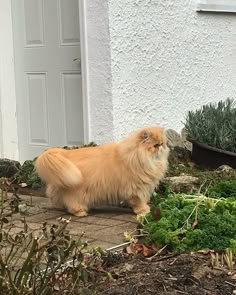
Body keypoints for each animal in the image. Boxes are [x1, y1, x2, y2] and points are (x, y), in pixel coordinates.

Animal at [35, 127, 169, 217]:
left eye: (163, 143)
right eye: (156, 145)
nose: (162, 147)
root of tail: (65, 153)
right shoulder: (136, 189)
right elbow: (139, 201)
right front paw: (143, 211)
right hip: (77, 191)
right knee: (72, 202)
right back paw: (80, 212)